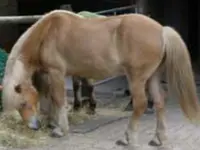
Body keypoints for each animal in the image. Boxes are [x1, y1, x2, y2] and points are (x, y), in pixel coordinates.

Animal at [1, 9, 200, 148]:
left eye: (23, 102)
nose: (34, 126)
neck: (47, 32)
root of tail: (161, 30)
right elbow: (49, 97)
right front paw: (52, 122)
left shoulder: (56, 72)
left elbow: (58, 99)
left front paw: (59, 129)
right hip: (152, 77)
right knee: (159, 103)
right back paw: (158, 139)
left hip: (137, 78)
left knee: (141, 104)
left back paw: (127, 138)